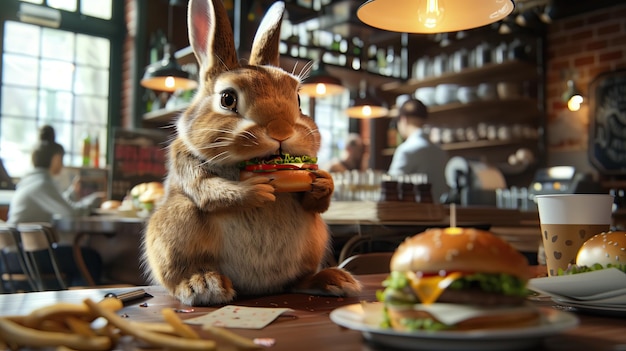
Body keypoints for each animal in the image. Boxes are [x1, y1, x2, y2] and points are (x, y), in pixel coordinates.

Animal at [140, 0, 358, 308]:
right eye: (227, 99)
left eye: (298, 100)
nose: (281, 131)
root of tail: (260, 289)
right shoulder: (186, 163)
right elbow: (208, 189)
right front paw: (257, 191)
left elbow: (315, 202)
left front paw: (323, 182)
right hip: (175, 224)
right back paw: (203, 284)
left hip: (315, 239)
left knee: (297, 281)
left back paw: (332, 280)